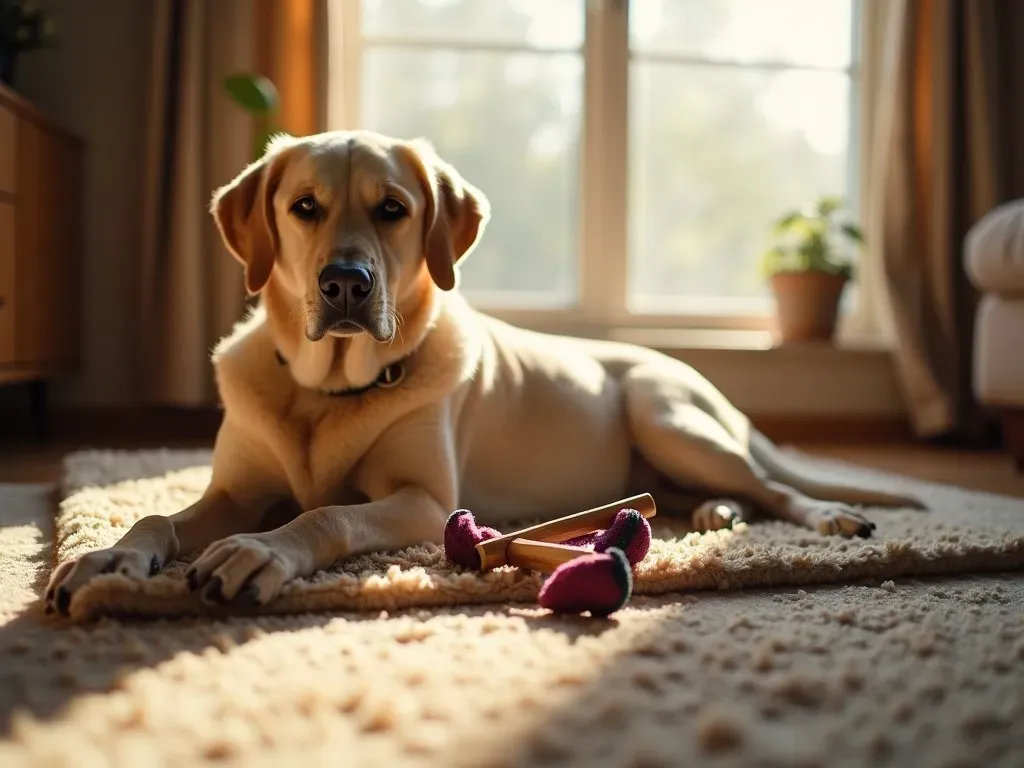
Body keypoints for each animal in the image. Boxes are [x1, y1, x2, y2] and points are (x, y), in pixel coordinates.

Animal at [46, 129, 921, 618]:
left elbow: (324, 516)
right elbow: (156, 517)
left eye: (392, 209)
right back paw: (712, 513)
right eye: (304, 207)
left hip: (667, 417)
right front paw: (108, 559)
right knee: (702, 493)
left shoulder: (425, 502)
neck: (330, 388)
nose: (345, 283)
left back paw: (825, 516)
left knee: (774, 487)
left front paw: (260, 554)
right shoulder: (232, 489)